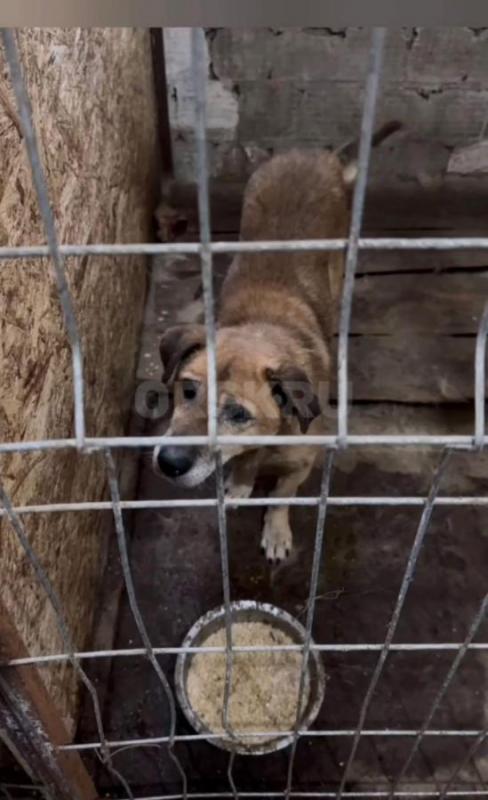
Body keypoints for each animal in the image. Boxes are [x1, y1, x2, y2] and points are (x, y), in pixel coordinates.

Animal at [154, 125, 402, 564]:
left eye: (237, 413)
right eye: (188, 390)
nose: (168, 463)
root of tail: (315, 154)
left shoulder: (302, 464)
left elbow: (282, 496)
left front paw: (276, 531)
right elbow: (245, 463)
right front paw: (240, 482)